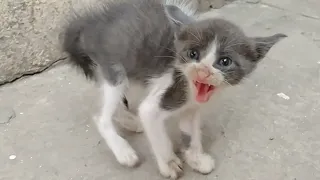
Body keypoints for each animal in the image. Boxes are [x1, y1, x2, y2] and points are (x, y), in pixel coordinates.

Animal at [61, 0, 286, 178]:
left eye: (225, 61)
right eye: (193, 54)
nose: (203, 70)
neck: (190, 89)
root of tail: (90, 22)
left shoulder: (191, 106)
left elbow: (190, 130)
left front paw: (196, 157)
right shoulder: (167, 93)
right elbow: (153, 125)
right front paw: (168, 163)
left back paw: (130, 121)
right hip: (114, 67)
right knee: (102, 114)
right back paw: (123, 151)